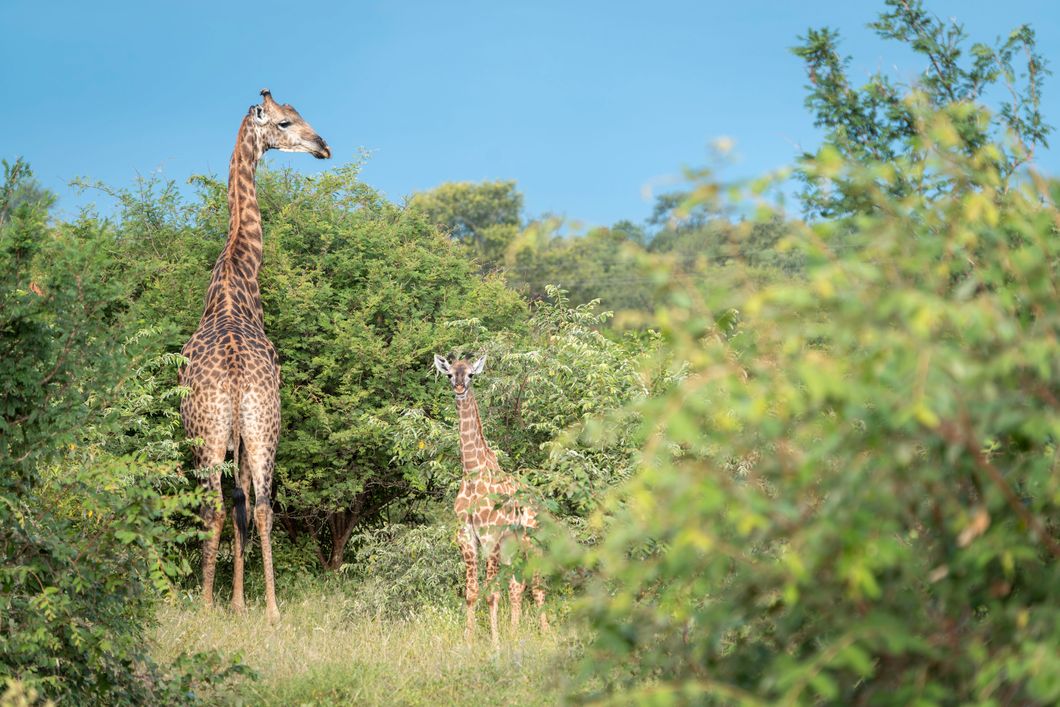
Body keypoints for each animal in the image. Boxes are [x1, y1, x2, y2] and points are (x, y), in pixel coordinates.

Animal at [180, 89, 330, 623]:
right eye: (285, 122)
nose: (323, 146)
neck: (238, 270)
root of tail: (235, 376)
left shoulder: (229, 437)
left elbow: (233, 505)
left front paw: (233, 602)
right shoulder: (243, 434)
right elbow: (245, 504)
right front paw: (243, 602)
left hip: (215, 432)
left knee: (216, 506)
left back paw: (209, 606)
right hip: (260, 424)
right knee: (260, 505)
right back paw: (270, 609)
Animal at [434, 354, 548, 646]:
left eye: (471, 374)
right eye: (449, 374)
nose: (459, 389)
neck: (473, 472)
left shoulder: (491, 536)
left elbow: (491, 593)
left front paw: (495, 643)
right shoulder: (466, 535)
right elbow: (472, 592)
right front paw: (469, 640)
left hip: (532, 543)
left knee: (537, 586)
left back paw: (545, 634)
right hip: (513, 548)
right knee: (518, 584)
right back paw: (515, 633)